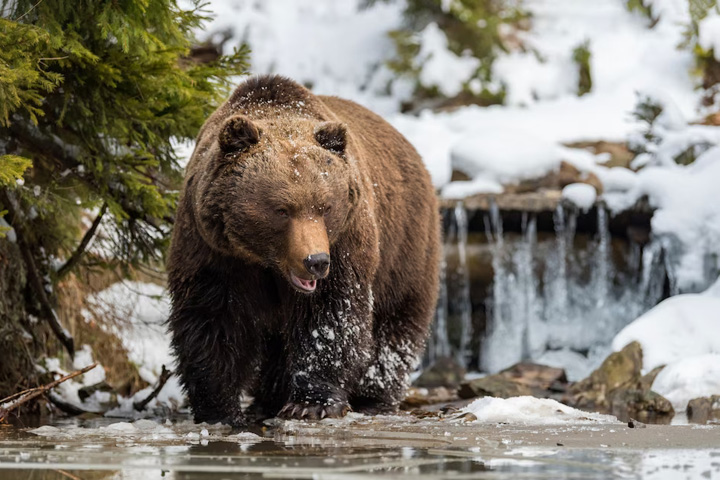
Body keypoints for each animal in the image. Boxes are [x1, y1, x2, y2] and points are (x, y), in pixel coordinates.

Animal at [169, 76, 438, 428]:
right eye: (282, 210)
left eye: (325, 207)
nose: (315, 262)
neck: (265, 261)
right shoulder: (212, 249)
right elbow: (213, 320)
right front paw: (220, 410)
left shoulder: (345, 243)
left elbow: (330, 317)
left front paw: (312, 403)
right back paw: (269, 398)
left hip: (405, 244)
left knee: (396, 322)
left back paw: (373, 398)